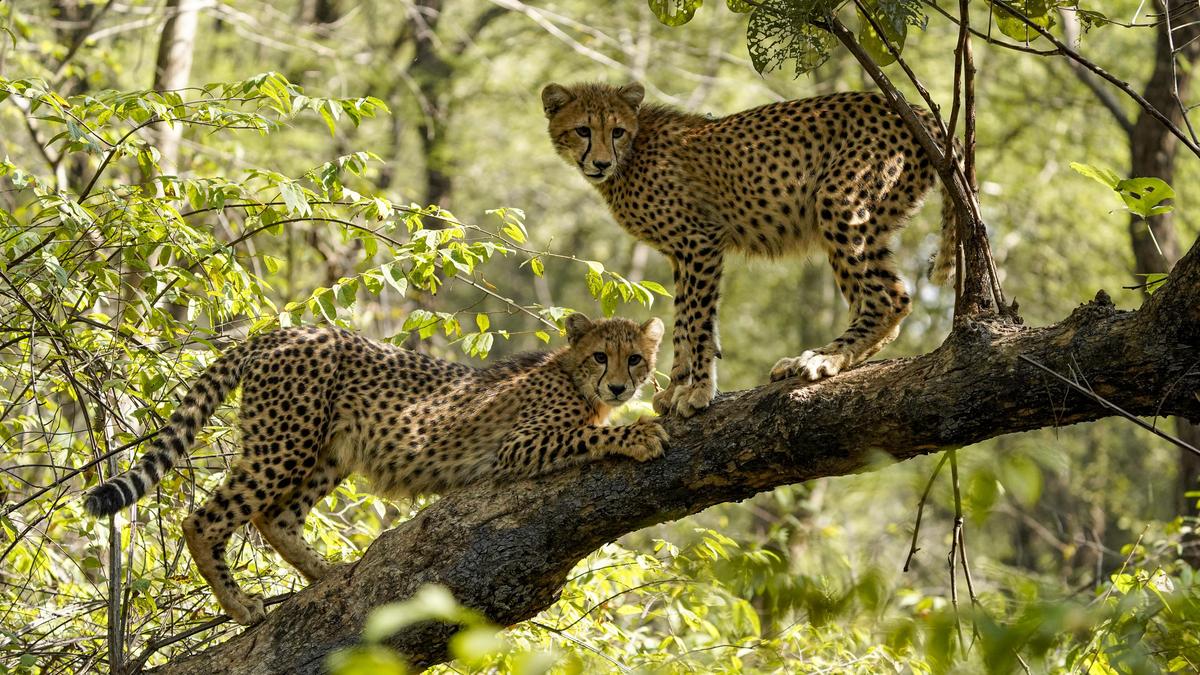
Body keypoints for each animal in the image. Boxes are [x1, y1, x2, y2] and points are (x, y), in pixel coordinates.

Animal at [85, 314, 667, 625]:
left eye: (635, 358)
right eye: (601, 356)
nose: (620, 386)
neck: (573, 376)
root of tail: (286, 331)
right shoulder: (518, 446)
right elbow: (590, 436)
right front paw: (639, 434)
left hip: (328, 453)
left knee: (275, 517)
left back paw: (327, 574)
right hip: (285, 442)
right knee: (204, 518)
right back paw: (241, 604)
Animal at [541, 82, 958, 417]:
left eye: (616, 131)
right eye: (582, 130)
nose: (599, 163)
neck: (631, 152)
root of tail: (912, 108)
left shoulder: (701, 241)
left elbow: (698, 325)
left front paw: (697, 391)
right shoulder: (681, 253)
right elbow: (683, 323)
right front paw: (677, 386)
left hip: (840, 206)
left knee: (888, 297)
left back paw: (825, 358)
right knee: (879, 299)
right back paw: (820, 357)